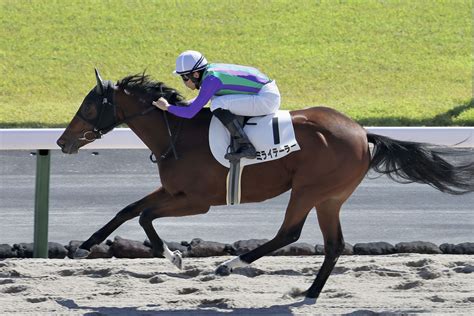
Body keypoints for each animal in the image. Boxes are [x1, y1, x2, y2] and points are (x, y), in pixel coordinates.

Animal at [57, 69, 472, 302]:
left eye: (89, 106)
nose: (63, 141)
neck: (178, 133)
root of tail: (361, 132)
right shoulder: (174, 191)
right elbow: (126, 210)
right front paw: (84, 247)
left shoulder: (197, 200)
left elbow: (144, 217)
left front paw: (172, 255)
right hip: (330, 197)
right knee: (334, 244)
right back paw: (310, 291)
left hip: (309, 190)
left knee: (289, 233)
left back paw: (230, 264)